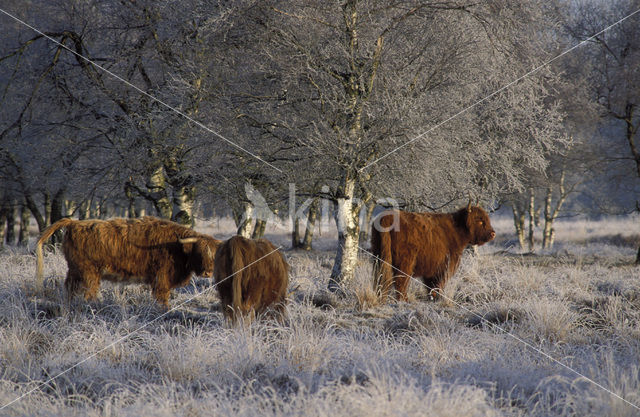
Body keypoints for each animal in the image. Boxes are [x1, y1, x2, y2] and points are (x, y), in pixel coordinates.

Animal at [35, 216, 220, 308]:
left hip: (74, 270)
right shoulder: (161, 277)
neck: (177, 247)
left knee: (70, 288)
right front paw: (163, 309)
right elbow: (162, 296)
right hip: (89, 272)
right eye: (199, 252)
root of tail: (74, 223)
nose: (208, 272)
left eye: (214, 255)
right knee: (89, 291)